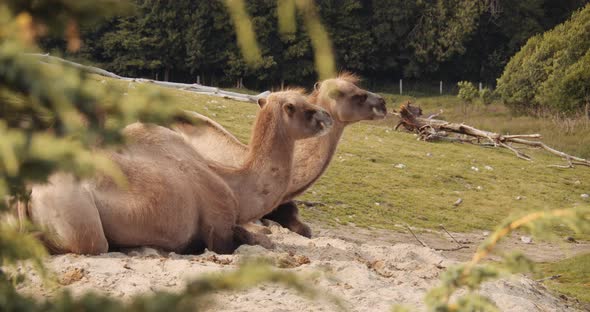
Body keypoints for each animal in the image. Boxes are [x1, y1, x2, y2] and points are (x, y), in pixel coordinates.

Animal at [28, 89, 332, 255]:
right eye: (304, 107)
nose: (327, 116)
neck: (232, 183)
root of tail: (29, 190)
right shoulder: (218, 225)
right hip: (76, 215)